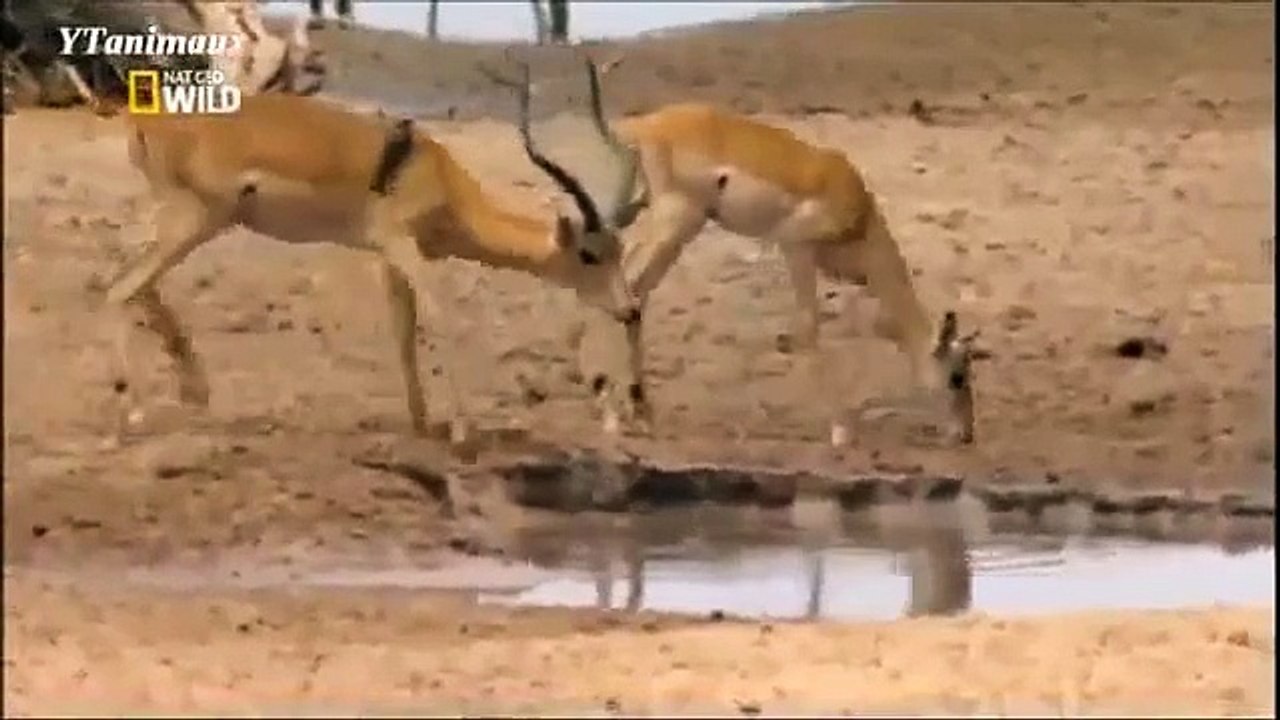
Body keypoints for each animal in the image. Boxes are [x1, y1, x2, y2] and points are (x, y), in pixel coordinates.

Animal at [101, 71, 642, 446]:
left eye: (619, 249)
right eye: (590, 254)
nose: (629, 308)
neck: (436, 175)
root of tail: (147, 120)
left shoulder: (390, 258)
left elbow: (404, 331)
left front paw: (423, 424)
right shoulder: (400, 243)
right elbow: (443, 315)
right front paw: (462, 430)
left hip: (187, 220)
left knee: (126, 277)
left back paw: (192, 391)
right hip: (197, 219)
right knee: (120, 287)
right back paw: (129, 415)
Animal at [559, 55, 981, 446]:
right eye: (957, 375)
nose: (965, 435)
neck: (860, 213)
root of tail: (644, 126)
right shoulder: (796, 247)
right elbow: (808, 330)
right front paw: (841, 429)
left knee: (631, 295)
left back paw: (639, 411)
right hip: (676, 222)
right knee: (628, 292)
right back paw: (614, 411)